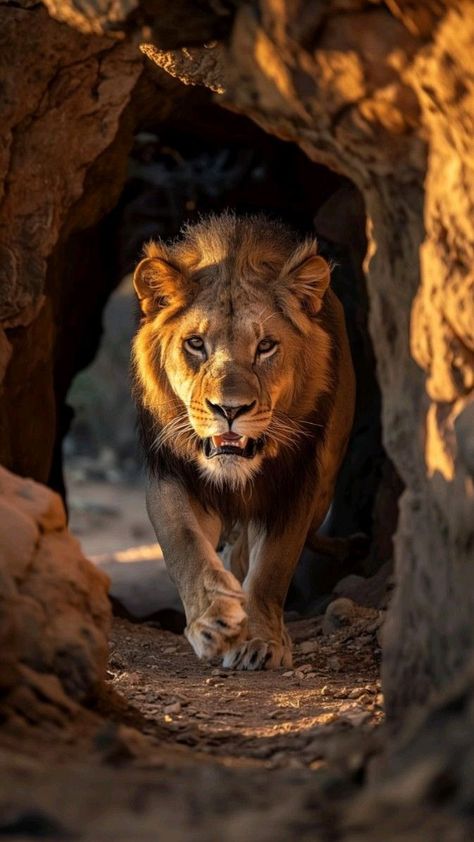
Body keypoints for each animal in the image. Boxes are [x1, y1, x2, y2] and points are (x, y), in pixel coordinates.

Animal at [132, 215, 356, 668]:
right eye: (195, 344)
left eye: (266, 346)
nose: (229, 409)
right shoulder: (170, 472)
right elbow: (185, 547)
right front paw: (213, 622)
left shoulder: (295, 483)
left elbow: (272, 566)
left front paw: (260, 641)